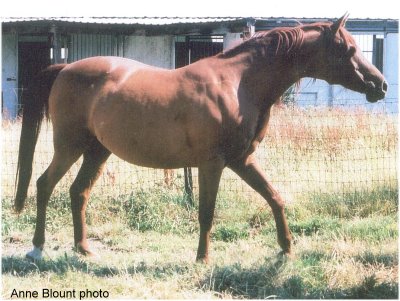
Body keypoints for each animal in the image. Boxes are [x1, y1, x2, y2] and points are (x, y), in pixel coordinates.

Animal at [14, 15, 386, 262]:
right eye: (348, 48)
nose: (380, 85)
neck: (238, 83)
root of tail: (64, 68)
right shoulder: (213, 164)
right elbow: (207, 211)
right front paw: (203, 259)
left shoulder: (241, 160)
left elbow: (274, 197)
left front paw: (286, 248)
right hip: (70, 146)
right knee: (44, 184)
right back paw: (37, 247)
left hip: (97, 151)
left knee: (78, 192)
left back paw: (83, 248)